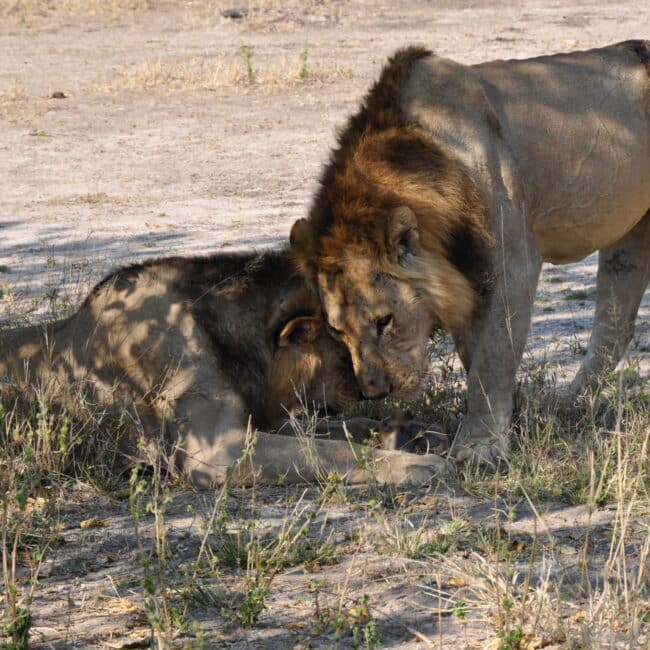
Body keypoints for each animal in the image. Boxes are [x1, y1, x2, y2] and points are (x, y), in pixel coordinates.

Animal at [0, 249, 448, 487]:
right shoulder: (215, 450)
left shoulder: (265, 418)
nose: (370, 391)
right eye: (345, 353)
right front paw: (413, 464)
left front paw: (411, 432)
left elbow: (341, 431)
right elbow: (328, 451)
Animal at [290, 40, 650, 466]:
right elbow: (473, 353)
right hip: (632, 233)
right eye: (337, 331)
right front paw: (508, 419)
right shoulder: (465, 276)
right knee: (615, 326)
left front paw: (480, 447)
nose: (376, 393)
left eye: (384, 321)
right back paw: (568, 404)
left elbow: (491, 358)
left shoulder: (513, 264)